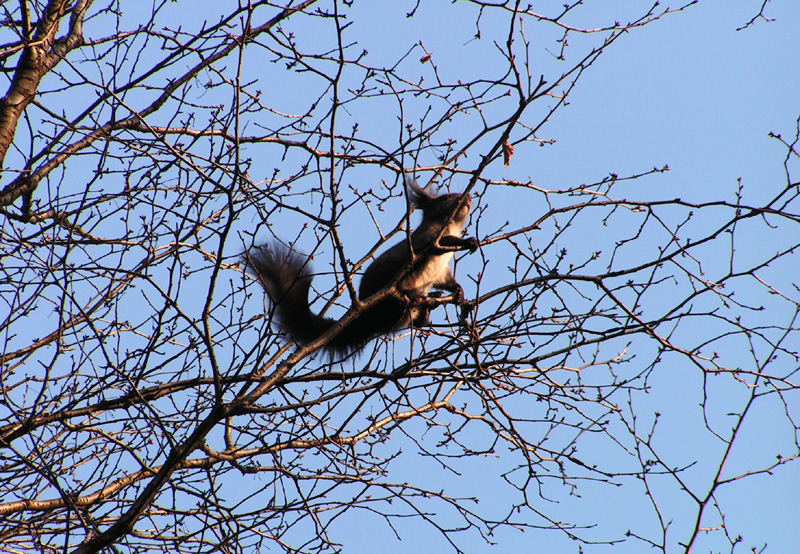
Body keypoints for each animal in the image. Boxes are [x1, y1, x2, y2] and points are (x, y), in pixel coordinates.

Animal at [247, 179, 478, 356]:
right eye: (446, 198)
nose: (468, 198)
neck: (451, 226)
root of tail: (370, 320)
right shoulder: (429, 240)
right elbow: (443, 241)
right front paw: (469, 241)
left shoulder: (442, 271)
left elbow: (446, 280)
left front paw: (458, 291)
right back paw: (413, 296)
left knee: (417, 321)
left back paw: (430, 303)